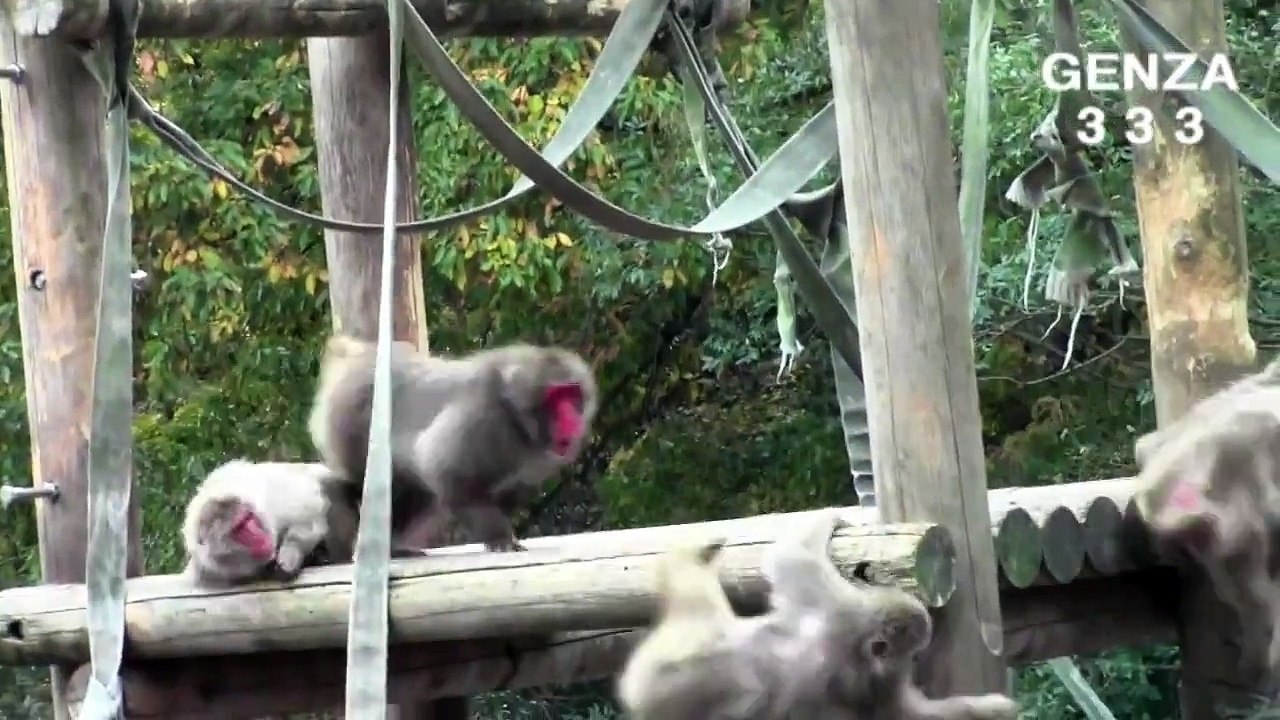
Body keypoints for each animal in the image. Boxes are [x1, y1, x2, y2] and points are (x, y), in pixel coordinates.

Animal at [182, 459, 350, 587]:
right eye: (238, 529)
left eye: (248, 518)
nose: (260, 536)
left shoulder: (270, 501)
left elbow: (309, 511)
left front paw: (290, 554)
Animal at [308, 334, 598, 554]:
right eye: (556, 396)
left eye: (573, 394)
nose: (573, 420)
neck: (516, 420)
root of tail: (357, 356)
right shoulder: (482, 419)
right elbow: (444, 469)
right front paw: (499, 537)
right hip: (349, 422)